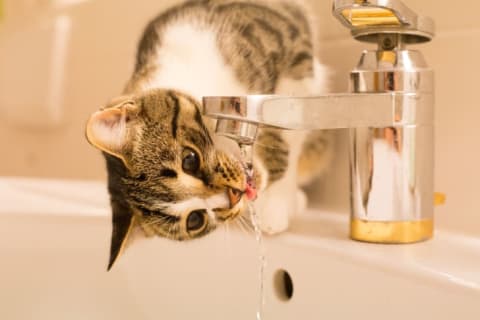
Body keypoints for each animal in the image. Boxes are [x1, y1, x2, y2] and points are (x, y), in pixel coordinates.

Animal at [84, 0, 332, 270]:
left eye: (189, 160)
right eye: (195, 220)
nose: (235, 195)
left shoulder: (289, 50)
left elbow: (285, 124)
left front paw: (275, 204)